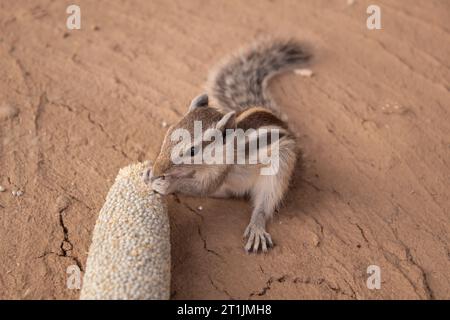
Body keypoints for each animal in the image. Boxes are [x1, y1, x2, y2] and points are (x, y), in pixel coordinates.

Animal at [146, 38, 312, 252]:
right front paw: (149, 172)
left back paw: (257, 226)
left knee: (265, 203)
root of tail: (287, 129)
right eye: (169, 132)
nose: (158, 170)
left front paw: (168, 184)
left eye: (192, 150)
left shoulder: (220, 170)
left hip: (281, 167)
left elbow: (202, 188)